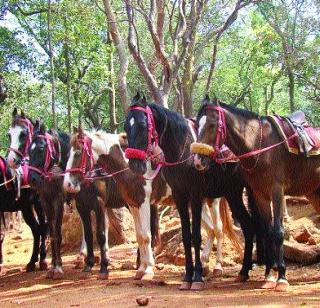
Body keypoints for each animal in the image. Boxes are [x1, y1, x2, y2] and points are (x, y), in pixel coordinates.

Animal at [194, 96, 320, 292]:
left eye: (212, 124)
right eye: (196, 123)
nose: (198, 160)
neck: (260, 145)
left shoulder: (276, 191)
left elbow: (278, 232)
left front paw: (282, 277)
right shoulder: (260, 194)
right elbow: (267, 232)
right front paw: (269, 276)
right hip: (314, 193)